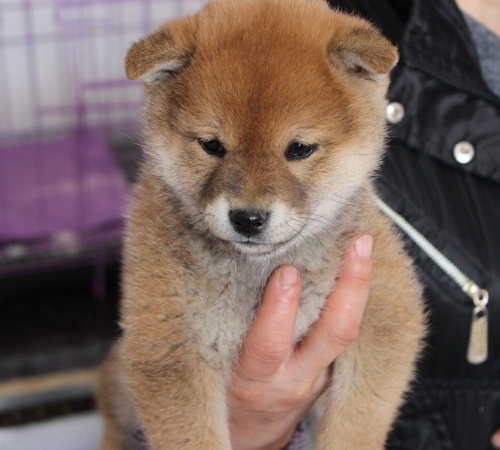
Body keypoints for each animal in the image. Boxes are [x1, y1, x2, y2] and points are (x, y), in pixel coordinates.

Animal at [97, 0, 426, 448]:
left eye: (300, 149)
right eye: (212, 145)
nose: (248, 218)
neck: (258, 274)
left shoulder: (386, 316)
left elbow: (355, 424)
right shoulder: (170, 353)